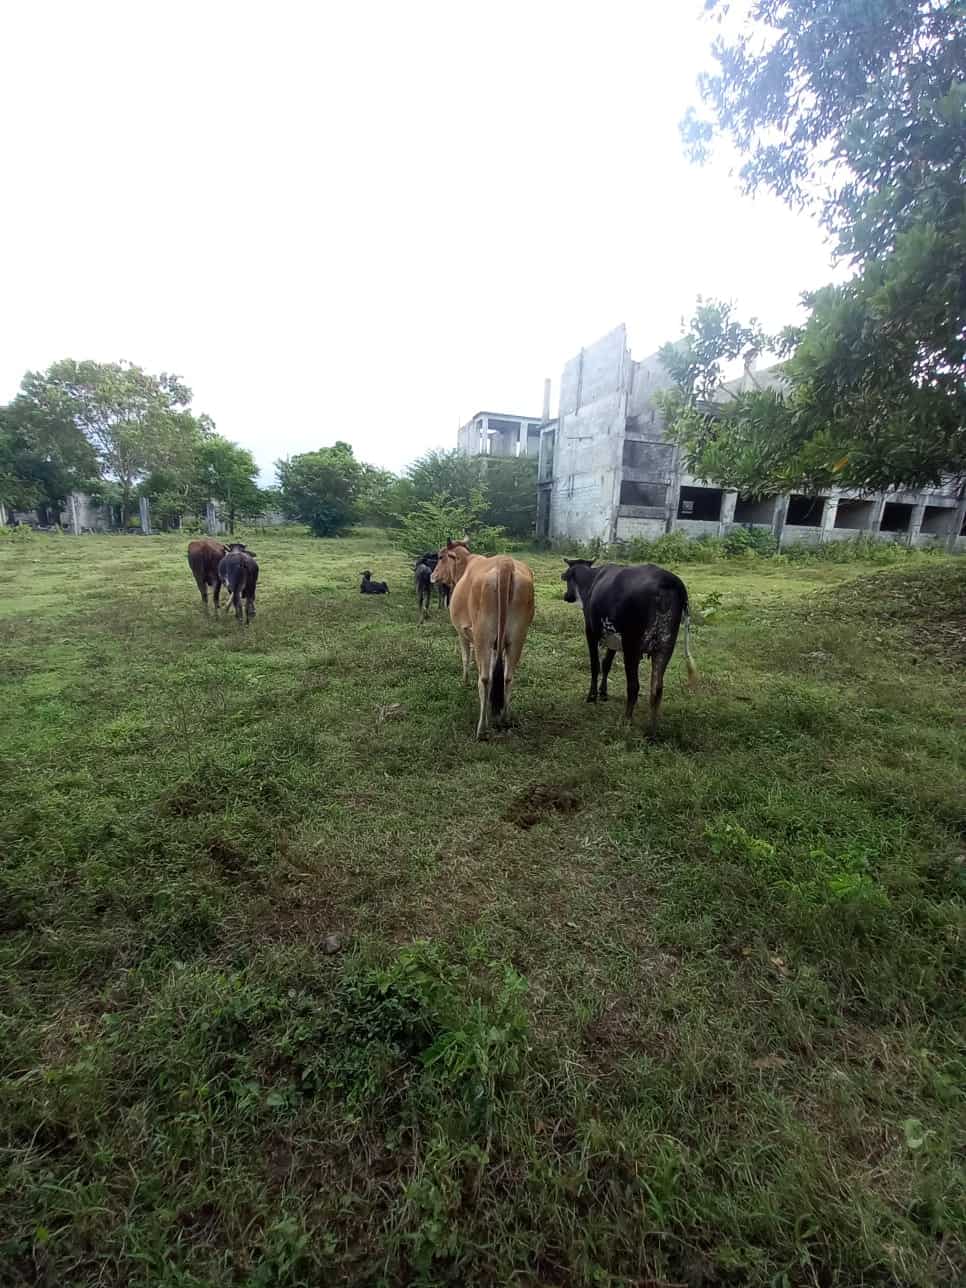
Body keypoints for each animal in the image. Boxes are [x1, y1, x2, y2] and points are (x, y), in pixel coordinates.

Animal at [430, 540, 538, 741]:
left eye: (441, 556)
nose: (432, 576)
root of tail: (505, 563)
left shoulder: (463, 633)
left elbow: (466, 659)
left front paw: (464, 682)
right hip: (517, 637)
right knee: (508, 677)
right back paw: (504, 718)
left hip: (483, 637)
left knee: (485, 679)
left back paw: (482, 729)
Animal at [558, 556, 695, 736]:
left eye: (566, 577)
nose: (566, 596)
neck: (591, 582)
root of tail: (668, 581)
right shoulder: (613, 638)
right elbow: (606, 664)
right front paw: (603, 693)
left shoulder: (591, 632)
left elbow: (595, 665)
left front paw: (592, 697)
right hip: (665, 646)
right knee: (657, 688)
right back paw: (652, 732)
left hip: (632, 647)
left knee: (634, 686)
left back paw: (626, 721)